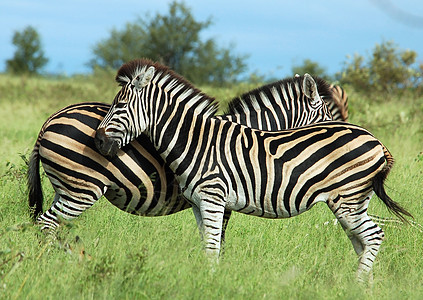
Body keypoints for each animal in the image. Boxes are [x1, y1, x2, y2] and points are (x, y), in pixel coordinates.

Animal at [29, 74, 334, 231]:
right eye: (329, 119)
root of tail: (50, 119)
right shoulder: (222, 201)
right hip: (82, 188)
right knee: (48, 223)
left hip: (64, 187)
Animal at [94, 59, 412, 282]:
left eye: (120, 105)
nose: (97, 141)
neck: (195, 139)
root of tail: (377, 142)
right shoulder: (200, 203)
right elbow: (209, 247)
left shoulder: (214, 199)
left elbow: (213, 249)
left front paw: (210, 284)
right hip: (352, 202)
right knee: (364, 242)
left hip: (348, 200)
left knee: (373, 237)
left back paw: (356, 285)